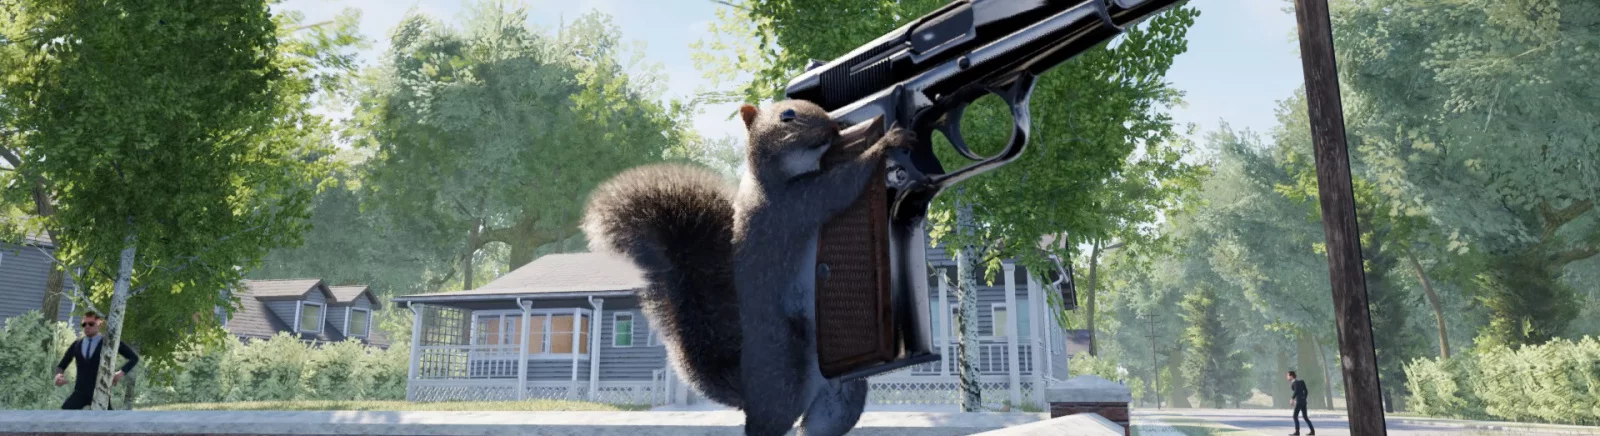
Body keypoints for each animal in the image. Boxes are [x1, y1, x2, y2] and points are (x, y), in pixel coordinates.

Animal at [582, 99, 913, 436]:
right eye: (787, 116)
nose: (833, 127)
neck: (769, 179)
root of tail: (744, 389)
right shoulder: (793, 205)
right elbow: (841, 187)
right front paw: (887, 142)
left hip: (840, 396)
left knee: (824, 418)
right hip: (780, 375)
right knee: (766, 423)